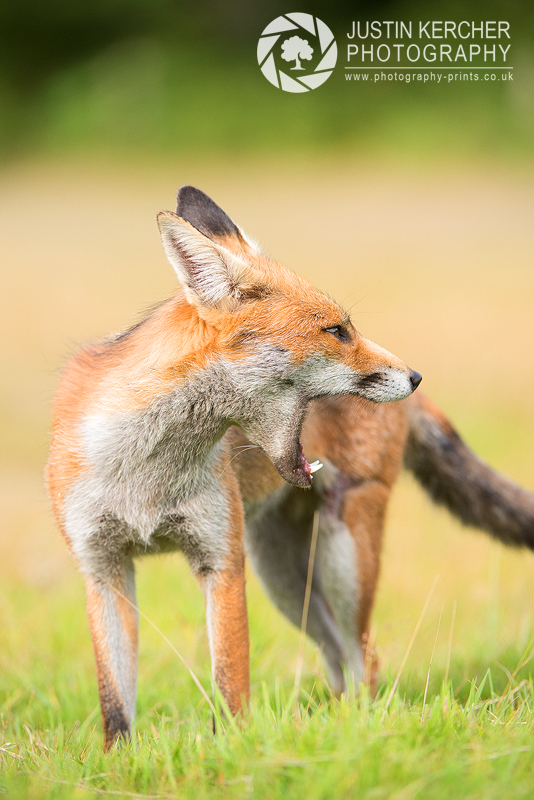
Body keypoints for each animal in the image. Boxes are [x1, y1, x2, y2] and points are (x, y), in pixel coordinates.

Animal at [47, 186, 534, 752]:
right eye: (337, 331)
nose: (414, 375)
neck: (145, 474)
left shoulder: (221, 562)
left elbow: (230, 685)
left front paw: (232, 753)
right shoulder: (103, 568)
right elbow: (115, 704)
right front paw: (119, 762)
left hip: (342, 560)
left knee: (363, 658)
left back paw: (360, 732)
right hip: (284, 575)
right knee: (338, 658)